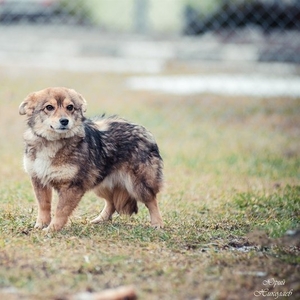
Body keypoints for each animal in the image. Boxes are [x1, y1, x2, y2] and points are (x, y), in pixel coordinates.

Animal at [18, 86, 164, 232]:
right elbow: (44, 205)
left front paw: (52, 229)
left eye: (70, 107)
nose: (64, 121)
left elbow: (61, 211)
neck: (52, 142)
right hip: (100, 182)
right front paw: (41, 224)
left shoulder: (72, 186)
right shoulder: (38, 179)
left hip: (137, 184)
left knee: (151, 200)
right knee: (111, 203)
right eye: (49, 107)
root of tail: (143, 130)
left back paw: (157, 223)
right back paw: (100, 219)